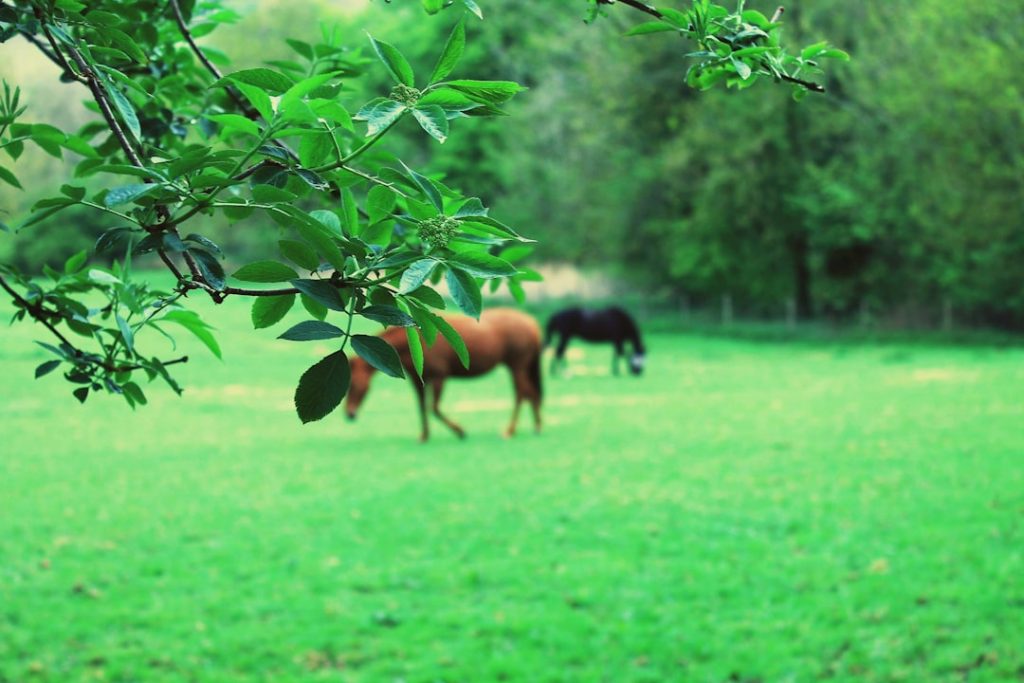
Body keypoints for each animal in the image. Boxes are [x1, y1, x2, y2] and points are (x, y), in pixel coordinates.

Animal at [345, 308, 543, 442]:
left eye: (353, 385)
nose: (349, 415)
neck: (416, 341)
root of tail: (531, 323)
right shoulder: (418, 381)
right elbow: (422, 407)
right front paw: (424, 435)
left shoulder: (439, 377)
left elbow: (434, 408)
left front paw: (460, 431)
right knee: (530, 394)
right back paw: (535, 426)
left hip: (517, 367)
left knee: (522, 394)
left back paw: (511, 430)